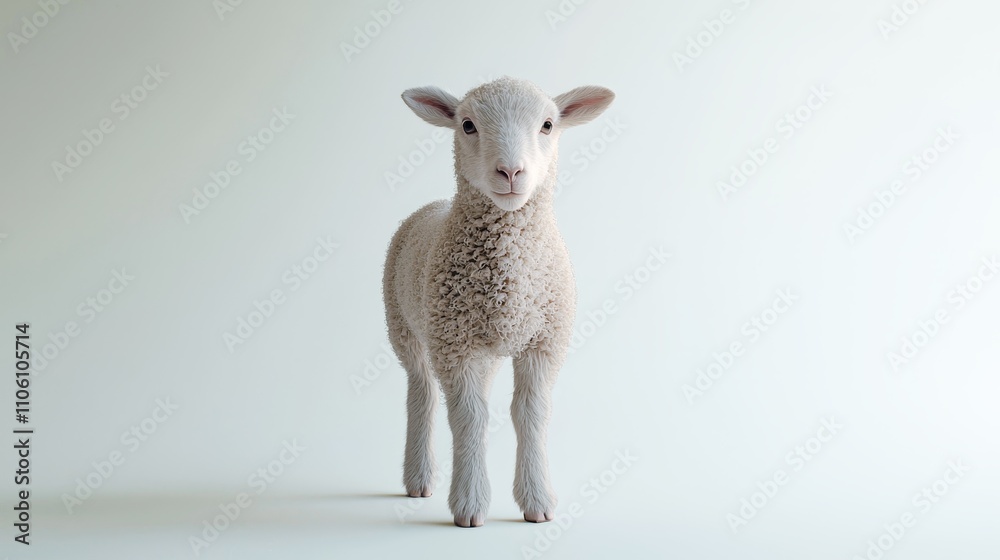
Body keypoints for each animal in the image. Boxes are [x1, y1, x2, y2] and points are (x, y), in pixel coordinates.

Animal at [383, 77, 614, 527]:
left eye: (547, 125)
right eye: (468, 125)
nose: (510, 172)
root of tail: (435, 204)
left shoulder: (544, 343)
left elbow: (531, 414)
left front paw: (537, 501)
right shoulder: (455, 346)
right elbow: (469, 418)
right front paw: (470, 505)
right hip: (405, 326)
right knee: (421, 391)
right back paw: (418, 477)